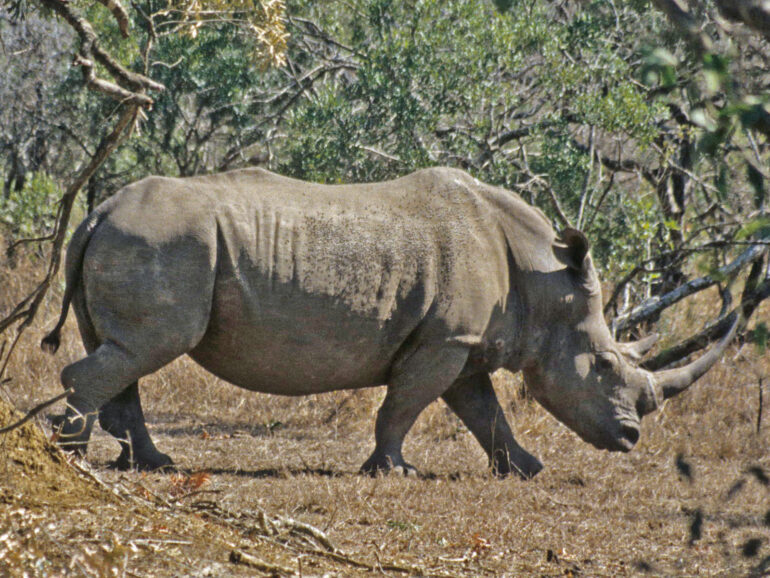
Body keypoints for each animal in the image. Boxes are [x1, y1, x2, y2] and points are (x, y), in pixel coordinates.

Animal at [42, 167, 737, 477]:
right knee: (147, 347)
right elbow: (404, 405)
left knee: (128, 352)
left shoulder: (462, 342)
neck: (545, 280)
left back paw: (152, 464)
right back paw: (71, 456)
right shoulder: (445, 340)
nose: (630, 437)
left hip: (140, 238)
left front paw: (527, 469)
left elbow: (485, 413)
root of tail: (98, 211)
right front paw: (392, 472)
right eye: (603, 364)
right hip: (162, 241)